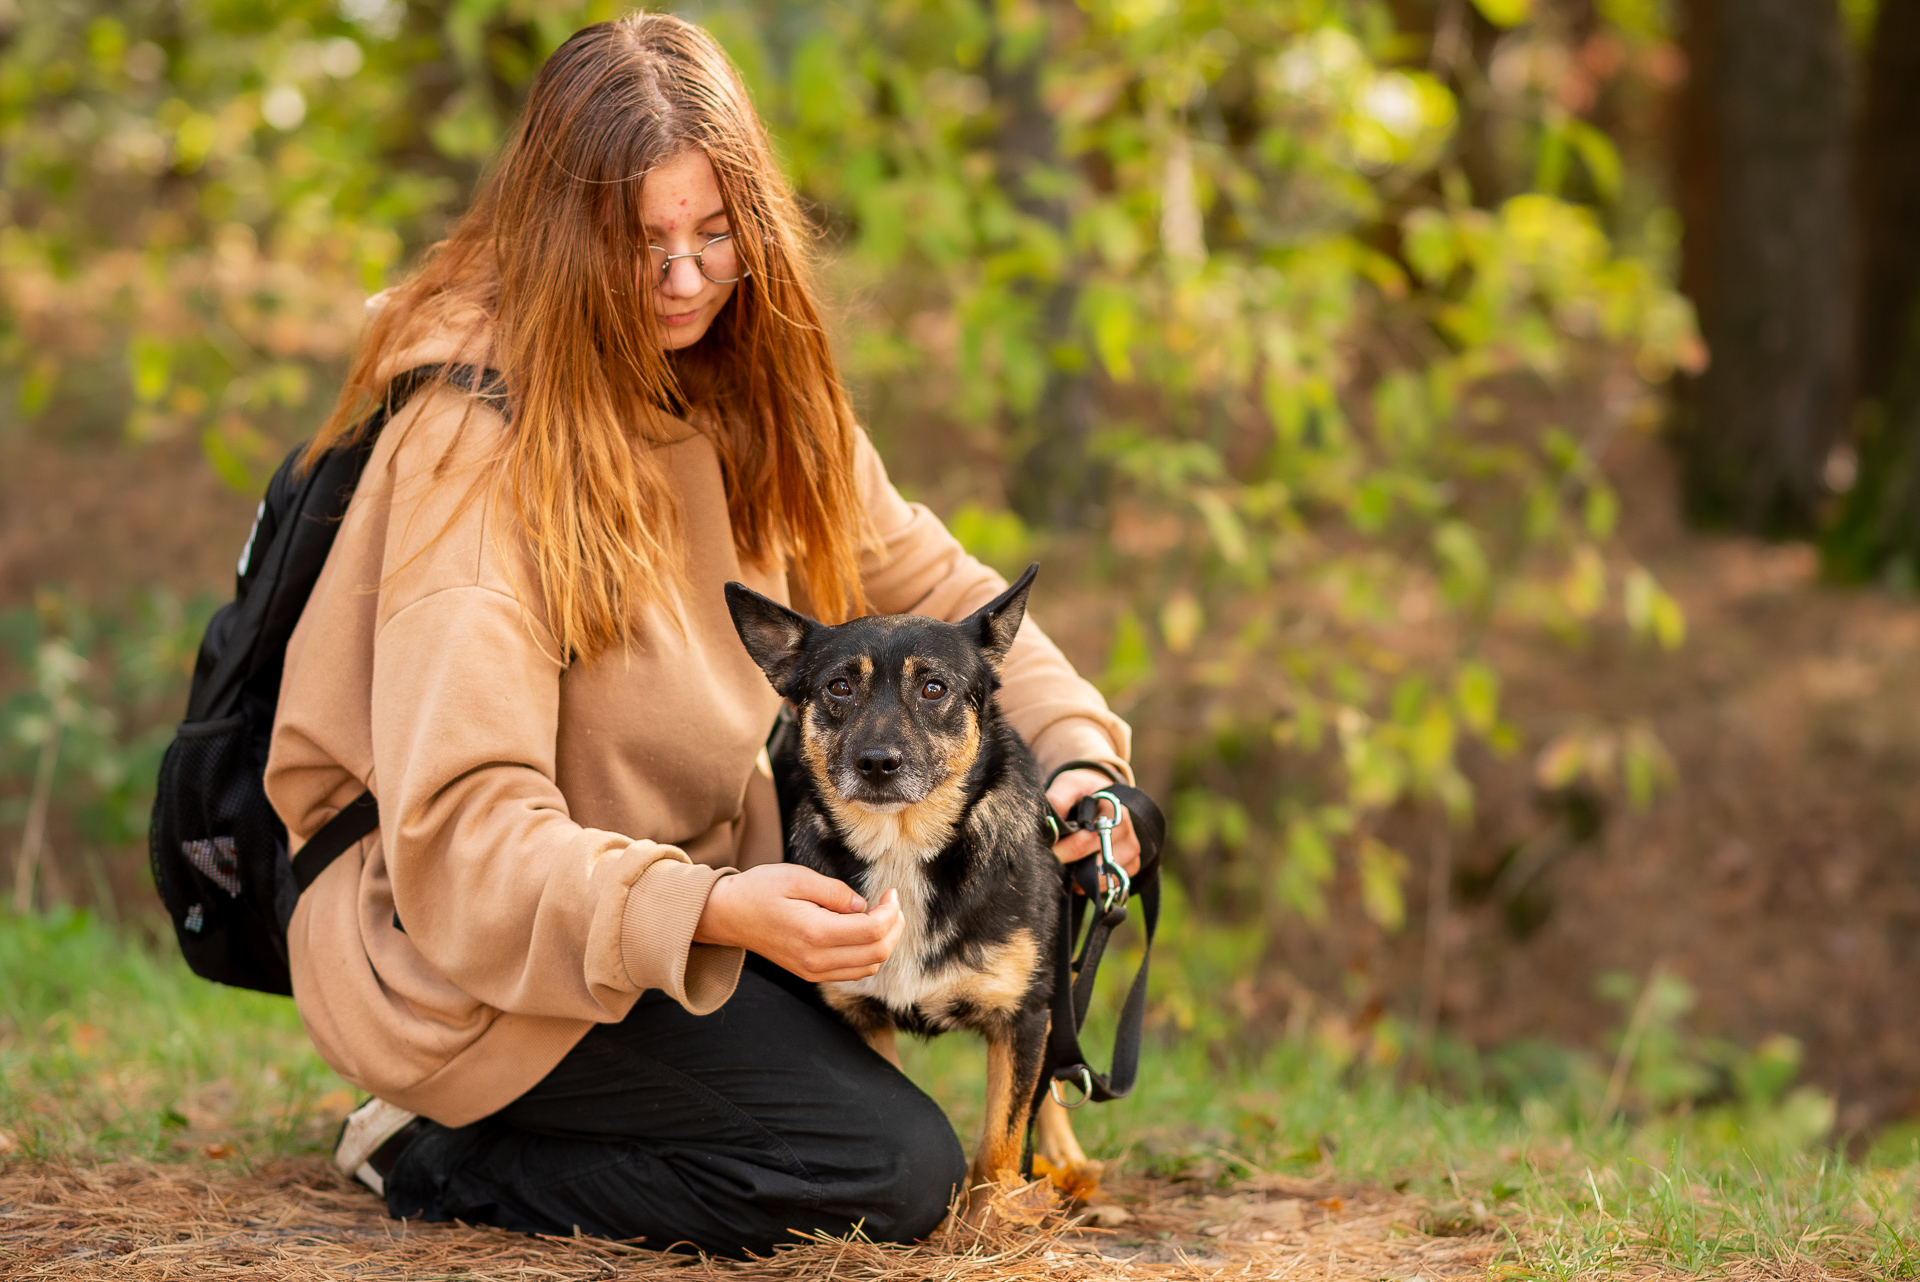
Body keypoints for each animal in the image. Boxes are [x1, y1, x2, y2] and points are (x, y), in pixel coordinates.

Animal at [721, 560, 1090, 1205]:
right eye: (839, 688)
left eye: (934, 688)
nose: (877, 762)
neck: (903, 847)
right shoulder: (859, 1017)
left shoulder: (1021, 1016)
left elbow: (999, 1145)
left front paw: (990, 1220)